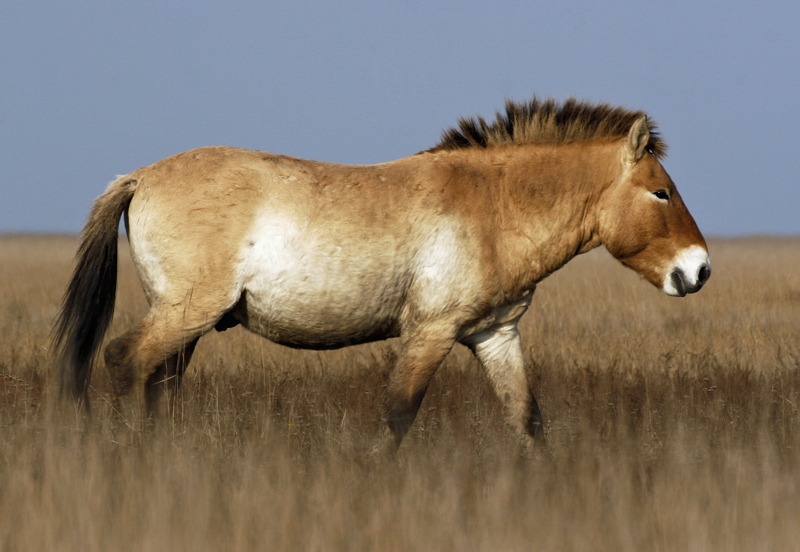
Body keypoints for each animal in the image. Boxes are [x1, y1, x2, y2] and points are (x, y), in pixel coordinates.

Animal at [53, 97, 708, 450]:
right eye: (661, 192)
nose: (698, 270)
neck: (494, 207)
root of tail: (141, 175)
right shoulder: (431, 332)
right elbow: (398, 414)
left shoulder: (495, 335)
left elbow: (528, 420)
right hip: (185, 313)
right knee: (123, 363)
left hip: (188, 323)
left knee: (157, 384)